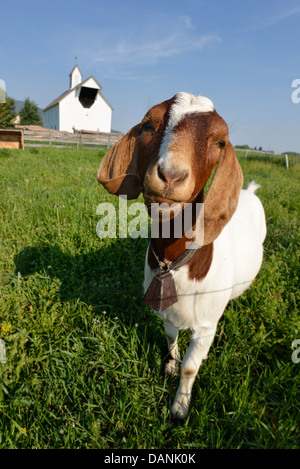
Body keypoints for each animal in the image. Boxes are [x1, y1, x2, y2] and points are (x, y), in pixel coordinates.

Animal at [97, 91, 266, 420]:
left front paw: (179, 407)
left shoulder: (206, 328)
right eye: (148, 125)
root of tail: (249, 192)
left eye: (220, 141)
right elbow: (170, 339)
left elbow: (191, 368)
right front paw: (169, 366)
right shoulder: (166, 313)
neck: (174, 265)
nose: (171, 175)